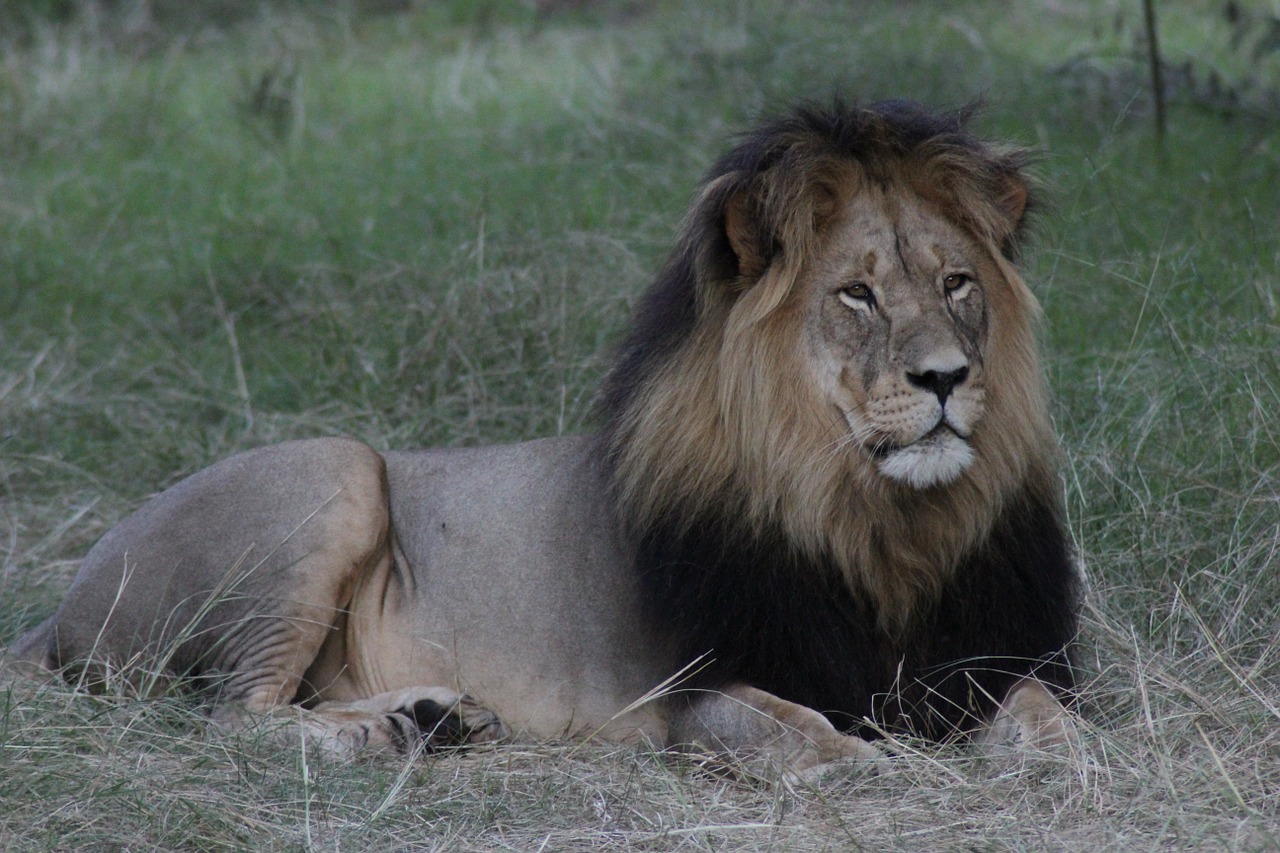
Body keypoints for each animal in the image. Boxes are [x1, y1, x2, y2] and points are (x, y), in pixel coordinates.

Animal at [7, 97, 1080, 768]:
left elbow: (1048, 712)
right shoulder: (688, 689)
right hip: (336, 468)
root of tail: (56, 611)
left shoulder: (986, 657)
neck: (879, 520)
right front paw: (858, 759)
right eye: (856, 294)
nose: (946, 378)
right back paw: (370, 738)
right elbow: (789, 730)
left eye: (957, 283)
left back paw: (432, 716)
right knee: (230, 714)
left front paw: (1060, 753)